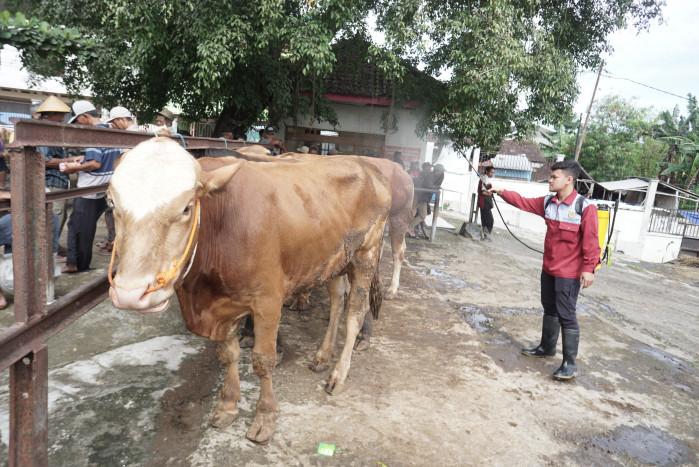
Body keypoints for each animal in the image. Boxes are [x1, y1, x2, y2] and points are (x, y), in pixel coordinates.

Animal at [108, 137, 394, 444]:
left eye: (186, 208)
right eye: (111, 202)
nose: (130, 294)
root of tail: (367, 165)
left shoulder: (268, 301)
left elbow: (262, 361)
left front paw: (265, 418)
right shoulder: (224, 303)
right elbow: (228, 354)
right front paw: (227, 405)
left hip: (366, 255)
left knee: (354, 314)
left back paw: (339, 374)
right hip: (334, 259)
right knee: (337, 303)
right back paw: (322, 356)